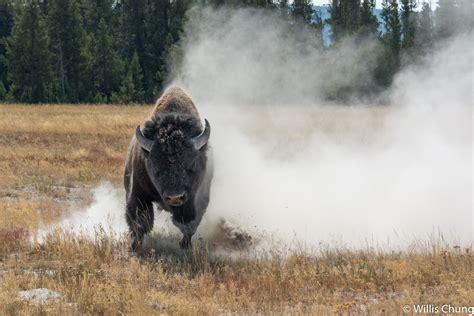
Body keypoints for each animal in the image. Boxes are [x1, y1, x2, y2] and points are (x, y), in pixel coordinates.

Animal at [123, 87, 212, 253]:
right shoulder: (138, 193)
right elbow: (140, 222)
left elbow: (190, 224)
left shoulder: (197, 197)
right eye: (156, 168)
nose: (175, 197)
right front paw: (134, 246)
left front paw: (184, 245)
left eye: (191, 166)